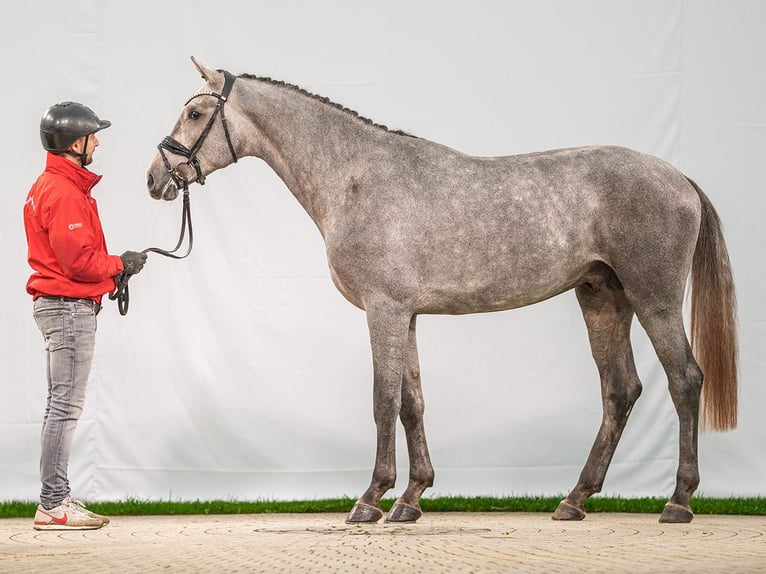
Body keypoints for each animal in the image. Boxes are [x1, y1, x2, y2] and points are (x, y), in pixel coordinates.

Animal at [144, 57, 736, 528]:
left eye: (195, 114)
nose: (154, 178)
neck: (355, 177)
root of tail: (678, 178)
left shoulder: (383, 310)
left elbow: (383, 399)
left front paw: (371, 498)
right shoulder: (405, 314)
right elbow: (413, 402)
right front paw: (411, 498)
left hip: (654, 300)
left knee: (685, 381)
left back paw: (678, 501)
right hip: (601, 298)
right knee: (620, 390)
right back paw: (574, 500)